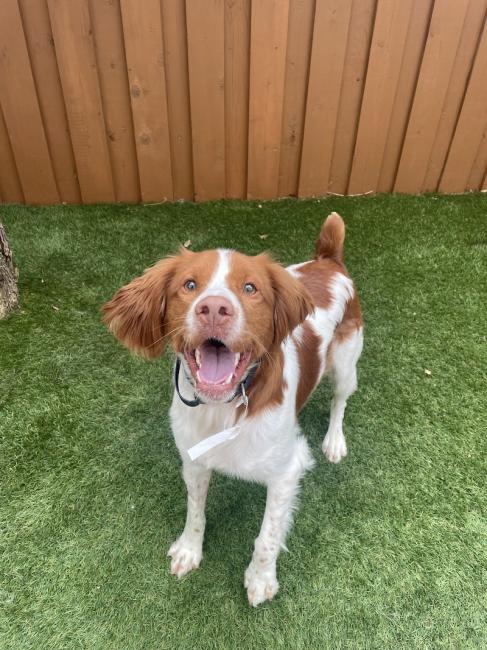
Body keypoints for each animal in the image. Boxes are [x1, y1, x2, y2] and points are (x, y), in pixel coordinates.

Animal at [103, 211, 362, 604]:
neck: (221, 408)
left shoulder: (287, 471)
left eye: (250, 288)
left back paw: (334, 441)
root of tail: (328, 261)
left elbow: (267, 537)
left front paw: (260, 579)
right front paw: (189, 550)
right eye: (189, 285)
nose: (213, 308)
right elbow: (195, 511)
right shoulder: (193, 459)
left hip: (347, 363)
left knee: (339, 401)